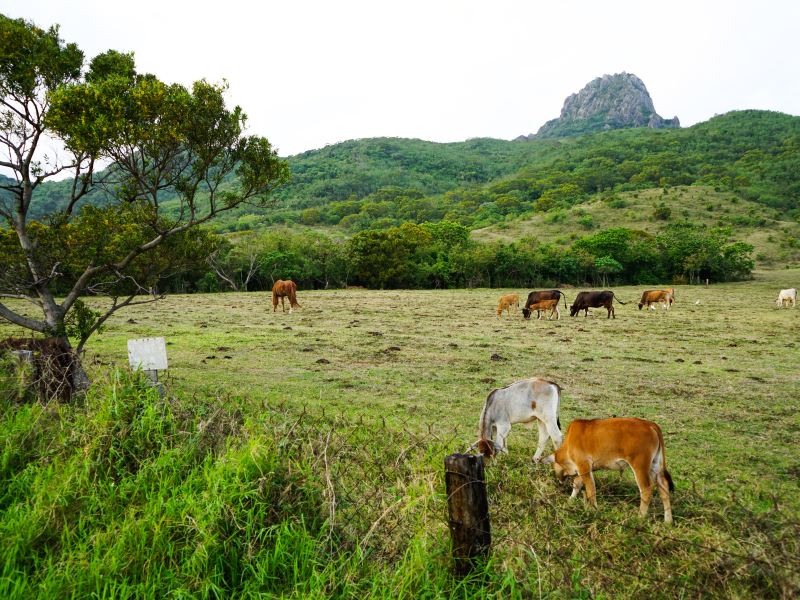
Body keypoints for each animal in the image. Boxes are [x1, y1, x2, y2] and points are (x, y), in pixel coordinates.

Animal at [544, 420, 676, 524]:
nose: (559, 480)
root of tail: (650, 424)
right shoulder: (583, 468)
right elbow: (577, 484)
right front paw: (571, 500)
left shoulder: (583, 465)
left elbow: (591, 490)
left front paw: (594, 510)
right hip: (655, 465)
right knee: (664, 488)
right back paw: (668, 521)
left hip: (640, 467)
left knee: (646, 490)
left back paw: (640, 517)